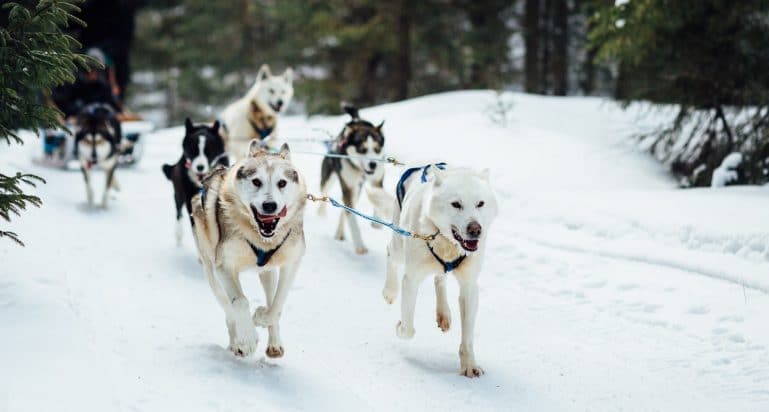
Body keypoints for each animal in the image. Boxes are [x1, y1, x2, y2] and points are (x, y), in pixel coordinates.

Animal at [382, 163, 498, 376]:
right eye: (456, 204)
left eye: (480, 203)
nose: (475, 229)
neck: (447, 242)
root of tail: (418, 168)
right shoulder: (411, 279)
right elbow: (408, 329)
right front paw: (400, 327)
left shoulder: (469, 287)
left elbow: (467, 337)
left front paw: (469, 365)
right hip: (399, 243)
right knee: (390, 254)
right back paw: (389, 291)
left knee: (440, 278)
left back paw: (443, 312)